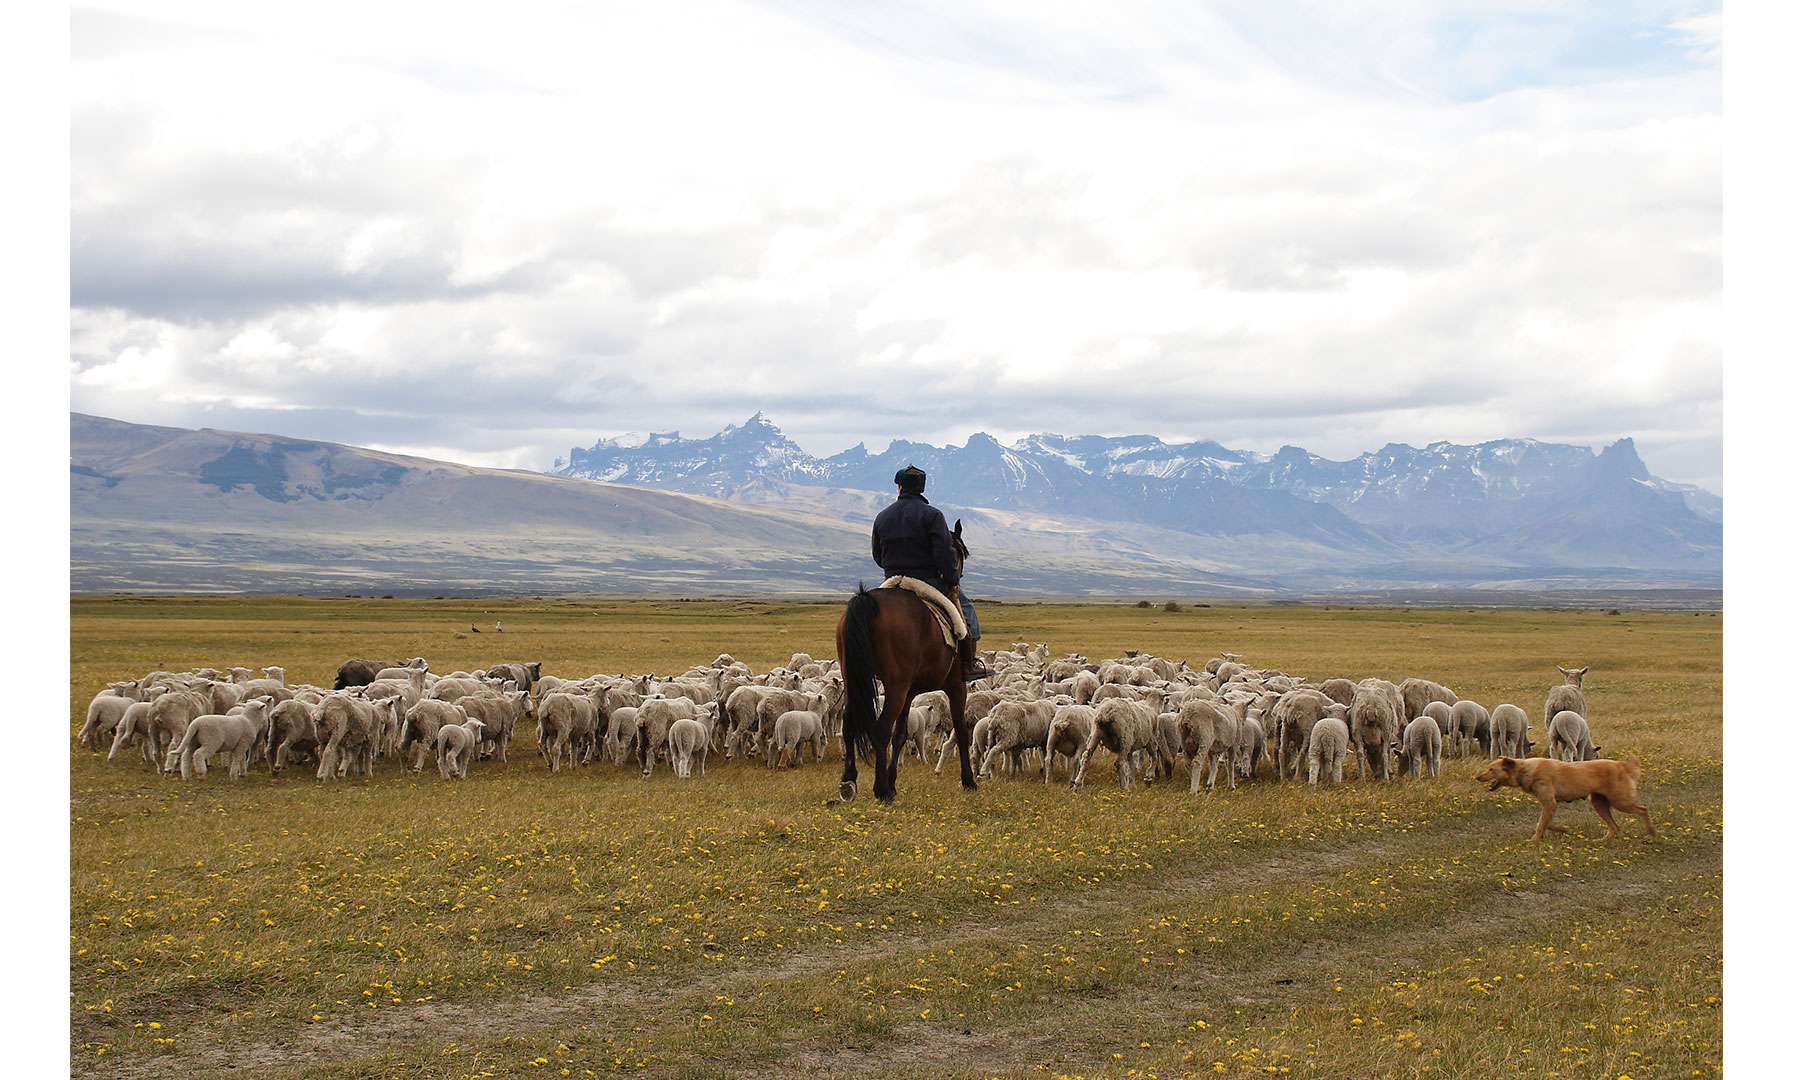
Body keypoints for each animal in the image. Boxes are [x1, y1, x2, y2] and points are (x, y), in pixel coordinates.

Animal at [834, 521, 977, 803]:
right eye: (959, 553)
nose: (956, 581)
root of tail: (866, 599)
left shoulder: (911, 691)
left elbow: (900, 734)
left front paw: (893, 780)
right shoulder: (956, 685)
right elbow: (961, 731)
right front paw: (969, 781)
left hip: (854, 677)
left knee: (849, 722)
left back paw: (849, 781)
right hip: (895, 685)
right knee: (880, 729)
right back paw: (881, 790)